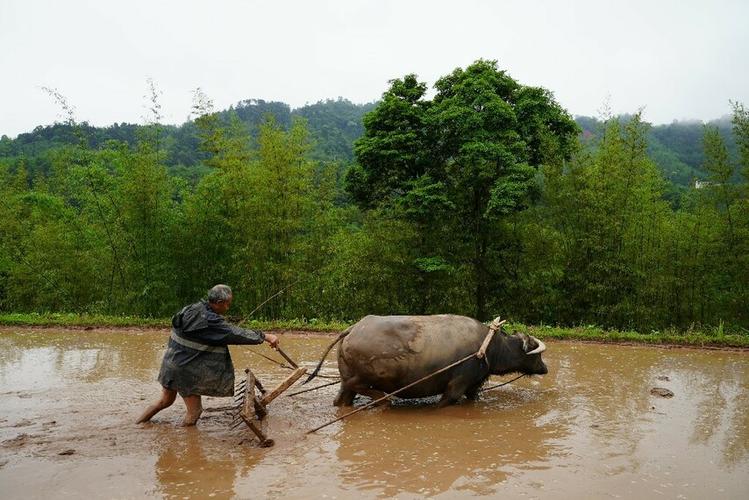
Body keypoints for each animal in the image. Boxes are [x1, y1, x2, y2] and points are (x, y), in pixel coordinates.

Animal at [306, 316, 548, 406]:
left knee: (341, 399)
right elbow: (446, 401)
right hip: (362, 377)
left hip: (346, 378)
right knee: (359, 387)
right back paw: (383, 399)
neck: (488, 347)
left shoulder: (473, 386)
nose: (545, 368)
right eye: (538, 354)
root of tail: (352, 329)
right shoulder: (456, 385)